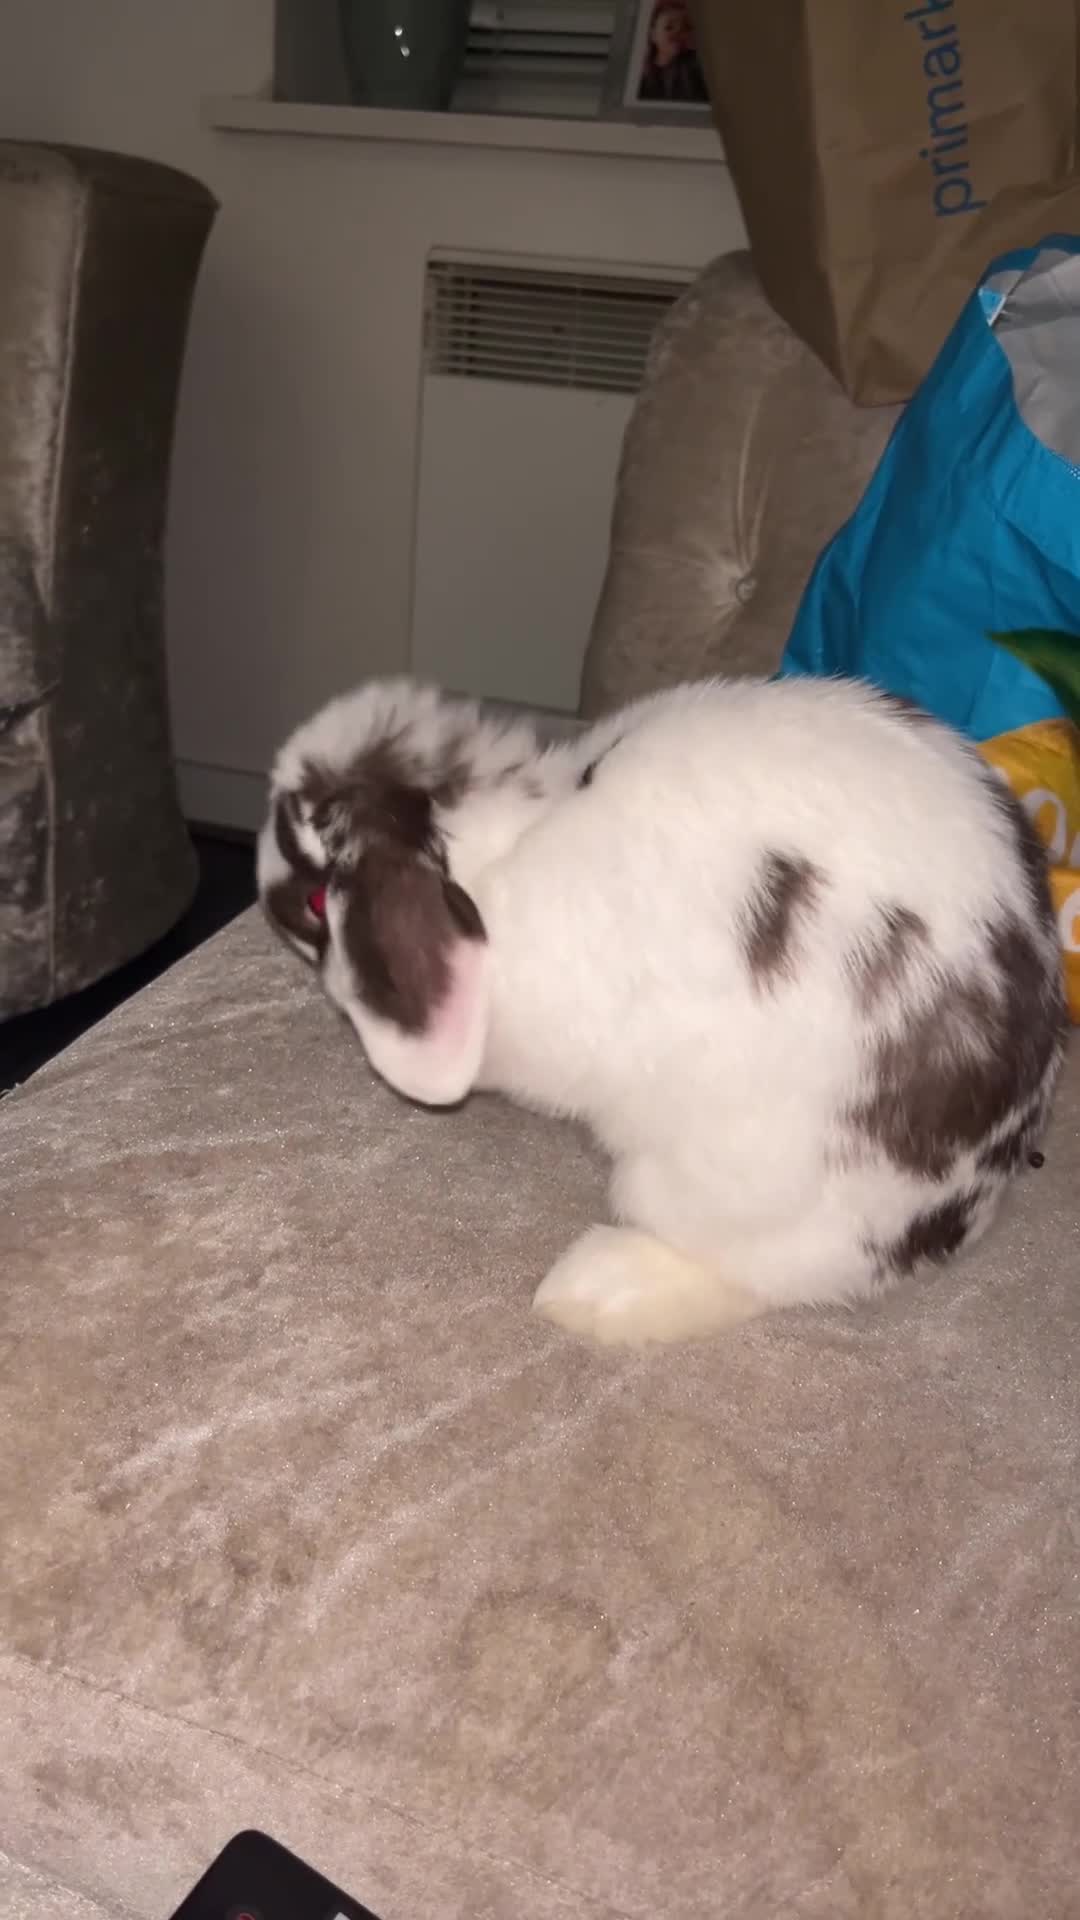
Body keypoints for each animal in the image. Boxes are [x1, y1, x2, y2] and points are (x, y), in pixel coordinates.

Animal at [257, 674, 1068, 1345]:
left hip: (716, 1181)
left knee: (751, 1274)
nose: (265, 903)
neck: (501, 840)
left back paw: (588, 1292)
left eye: (318, 899)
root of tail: (963, 1208)